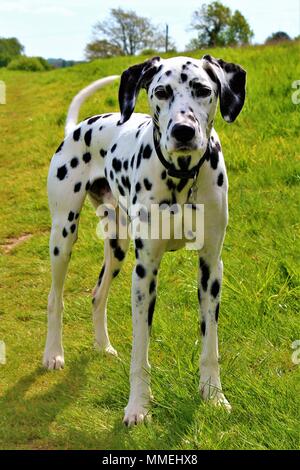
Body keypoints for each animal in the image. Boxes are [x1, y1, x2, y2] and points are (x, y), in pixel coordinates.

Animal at [44, 54, 246, 426]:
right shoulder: (145, 272)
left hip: (118, 247)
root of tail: (78, 129)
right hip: (63, 235)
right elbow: (141, 350)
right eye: (161, 91)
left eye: (203, 90)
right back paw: (53, 354)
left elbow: (210, 344)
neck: (182, 177)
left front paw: (214, 396)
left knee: (97, 295)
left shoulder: (211, 268)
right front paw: (138, 406)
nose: (183, 131)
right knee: (55, 298)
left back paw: (102, 346)